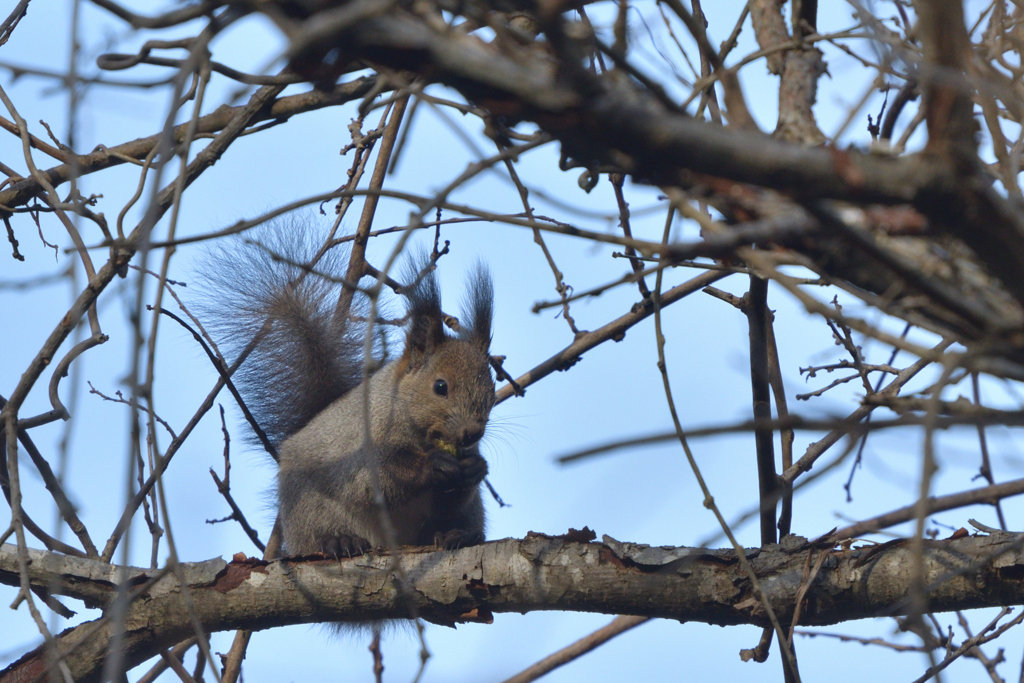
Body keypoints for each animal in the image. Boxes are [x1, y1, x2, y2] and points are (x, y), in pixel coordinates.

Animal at [199, 222, 495, 557]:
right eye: (440, 387)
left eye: (491, 389)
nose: (472, 433)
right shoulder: (358, 446)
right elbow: (376, 479)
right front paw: (433, 464)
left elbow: (450, 499)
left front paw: (475, 468)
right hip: (308, 507)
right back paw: (339, 540)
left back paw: (460, 534)